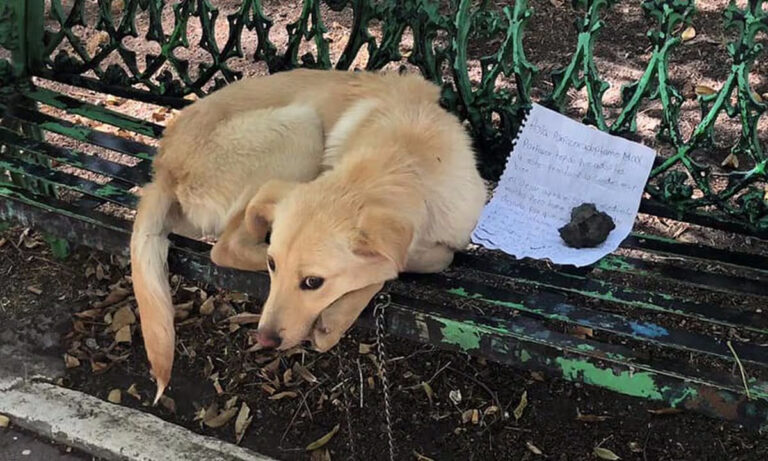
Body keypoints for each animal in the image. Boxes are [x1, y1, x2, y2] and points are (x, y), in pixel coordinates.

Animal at [128, 69, 484, 402]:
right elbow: (402, 264)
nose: (265, 339)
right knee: (226, 247)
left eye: (313, 282)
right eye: (273, 265)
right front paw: (340, 314)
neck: (404, 158)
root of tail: (163, 168)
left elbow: (422, 257)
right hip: (301, 127)